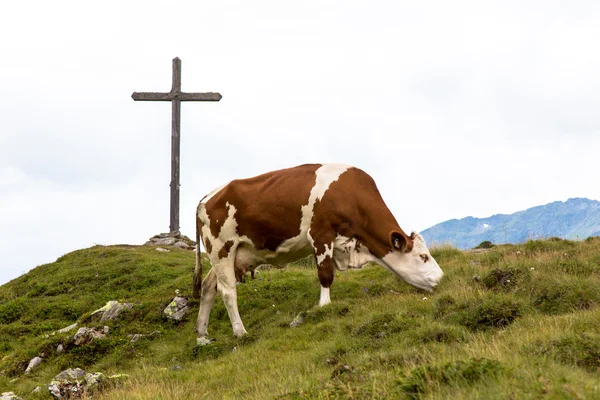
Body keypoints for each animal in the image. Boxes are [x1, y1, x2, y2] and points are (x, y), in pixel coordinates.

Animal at [195, 164, 442, 342]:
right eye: (423, 257)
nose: (441, 277)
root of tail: (206, 197)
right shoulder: (321, 234)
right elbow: (325, 274)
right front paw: (324, 306)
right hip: (221, 248)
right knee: (227, 291)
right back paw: (240, 332)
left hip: (228, 255)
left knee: (208, 287)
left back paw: (202, 334)